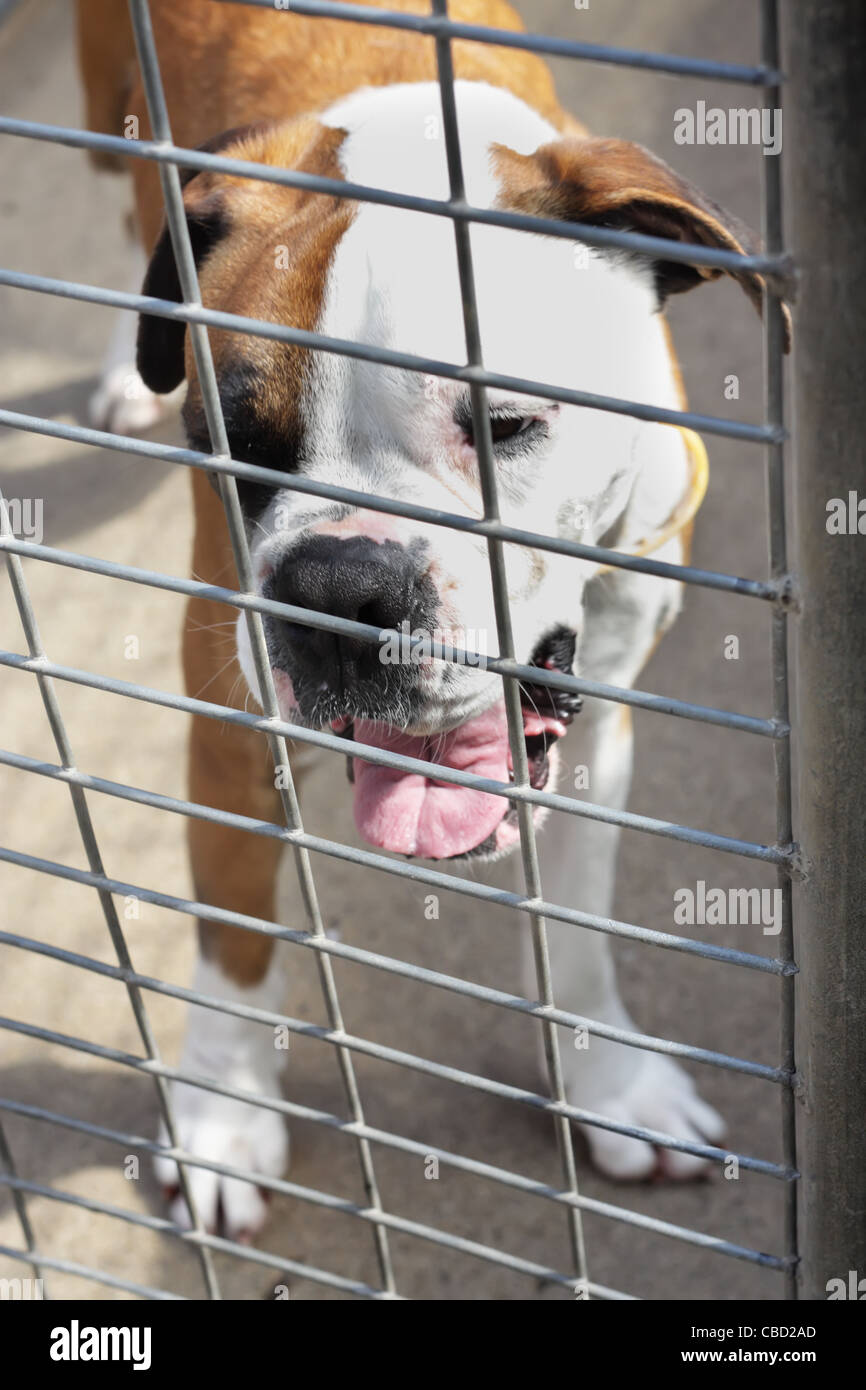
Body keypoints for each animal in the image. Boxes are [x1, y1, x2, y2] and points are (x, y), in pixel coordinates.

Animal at [77, 0, 778, 1239]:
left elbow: (580, 930)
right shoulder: (231, 726)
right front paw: (219, 1118)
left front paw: (607, 1086)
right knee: (123, 196)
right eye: (231, 441)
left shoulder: (601, 722)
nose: (337, 587)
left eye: (504, 424)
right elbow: (234, 929)